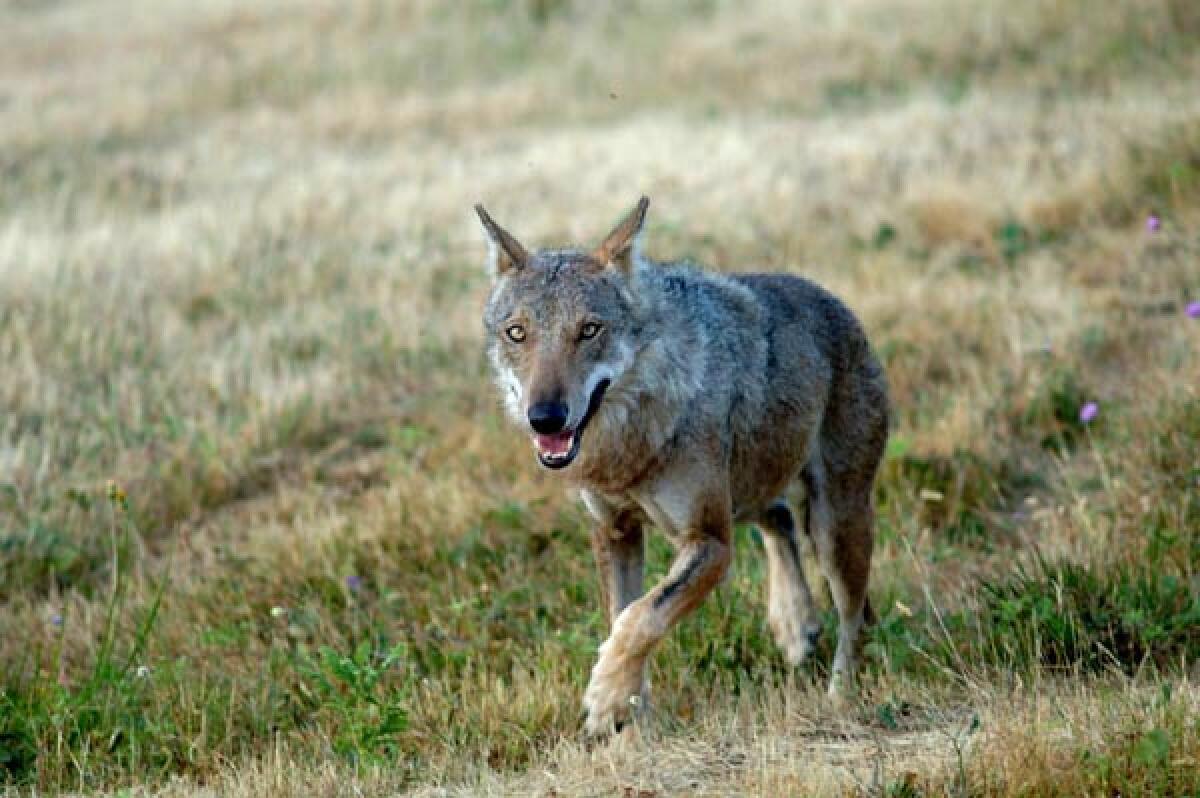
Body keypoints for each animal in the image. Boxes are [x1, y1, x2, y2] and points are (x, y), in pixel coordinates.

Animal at [476, 197, 889, 737]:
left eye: (589, 330)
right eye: (517, 333)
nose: (544, 418)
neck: (631, 448)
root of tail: (840, 306)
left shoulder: (710, 543)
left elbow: (640, 619)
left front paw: (605, 698)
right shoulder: (614, 531)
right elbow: (624, 617)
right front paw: (629, 718)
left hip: (833, 526)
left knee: (854, 615)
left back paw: (839, 697)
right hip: (752, 494)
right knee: (778, 517)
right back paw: (794, 626)